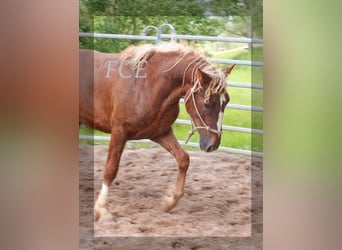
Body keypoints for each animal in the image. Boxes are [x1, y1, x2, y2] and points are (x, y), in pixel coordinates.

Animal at [79, 43, 235, 221]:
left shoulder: (160, 133)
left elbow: (183, 159)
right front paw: (101, 209)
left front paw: (169, 201)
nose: (213, 144)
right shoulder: (119, 132)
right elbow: (111, 169)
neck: (146, 85)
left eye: (226, 101)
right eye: (207, 103)